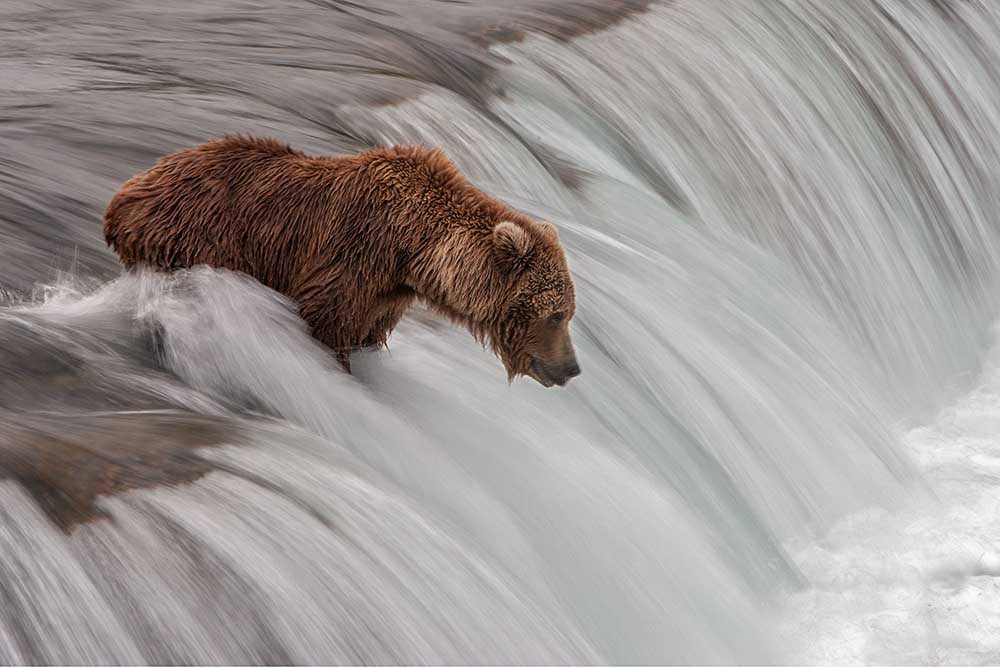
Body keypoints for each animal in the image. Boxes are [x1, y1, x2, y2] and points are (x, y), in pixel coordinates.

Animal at [103, 136, 580, 386]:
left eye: (568, 312)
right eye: (555, 315)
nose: (572, 368)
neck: (411, 247)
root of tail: (123, 194)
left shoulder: (386, 295)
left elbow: (366, 335)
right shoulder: (350, 259)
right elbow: (327, 325)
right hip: (191, 239)